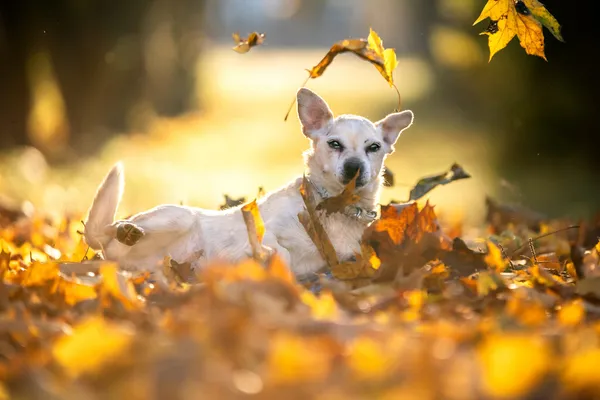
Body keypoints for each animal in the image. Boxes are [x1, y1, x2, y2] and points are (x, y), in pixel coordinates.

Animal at [83, 88, 412, 276]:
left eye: (374, 148)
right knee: (110, 228)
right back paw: (126, 229)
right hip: (176, 217)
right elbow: (279, 251)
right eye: (334, 144)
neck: (333, 206)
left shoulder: (343, 257)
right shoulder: (261, 230)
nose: (355, 167)